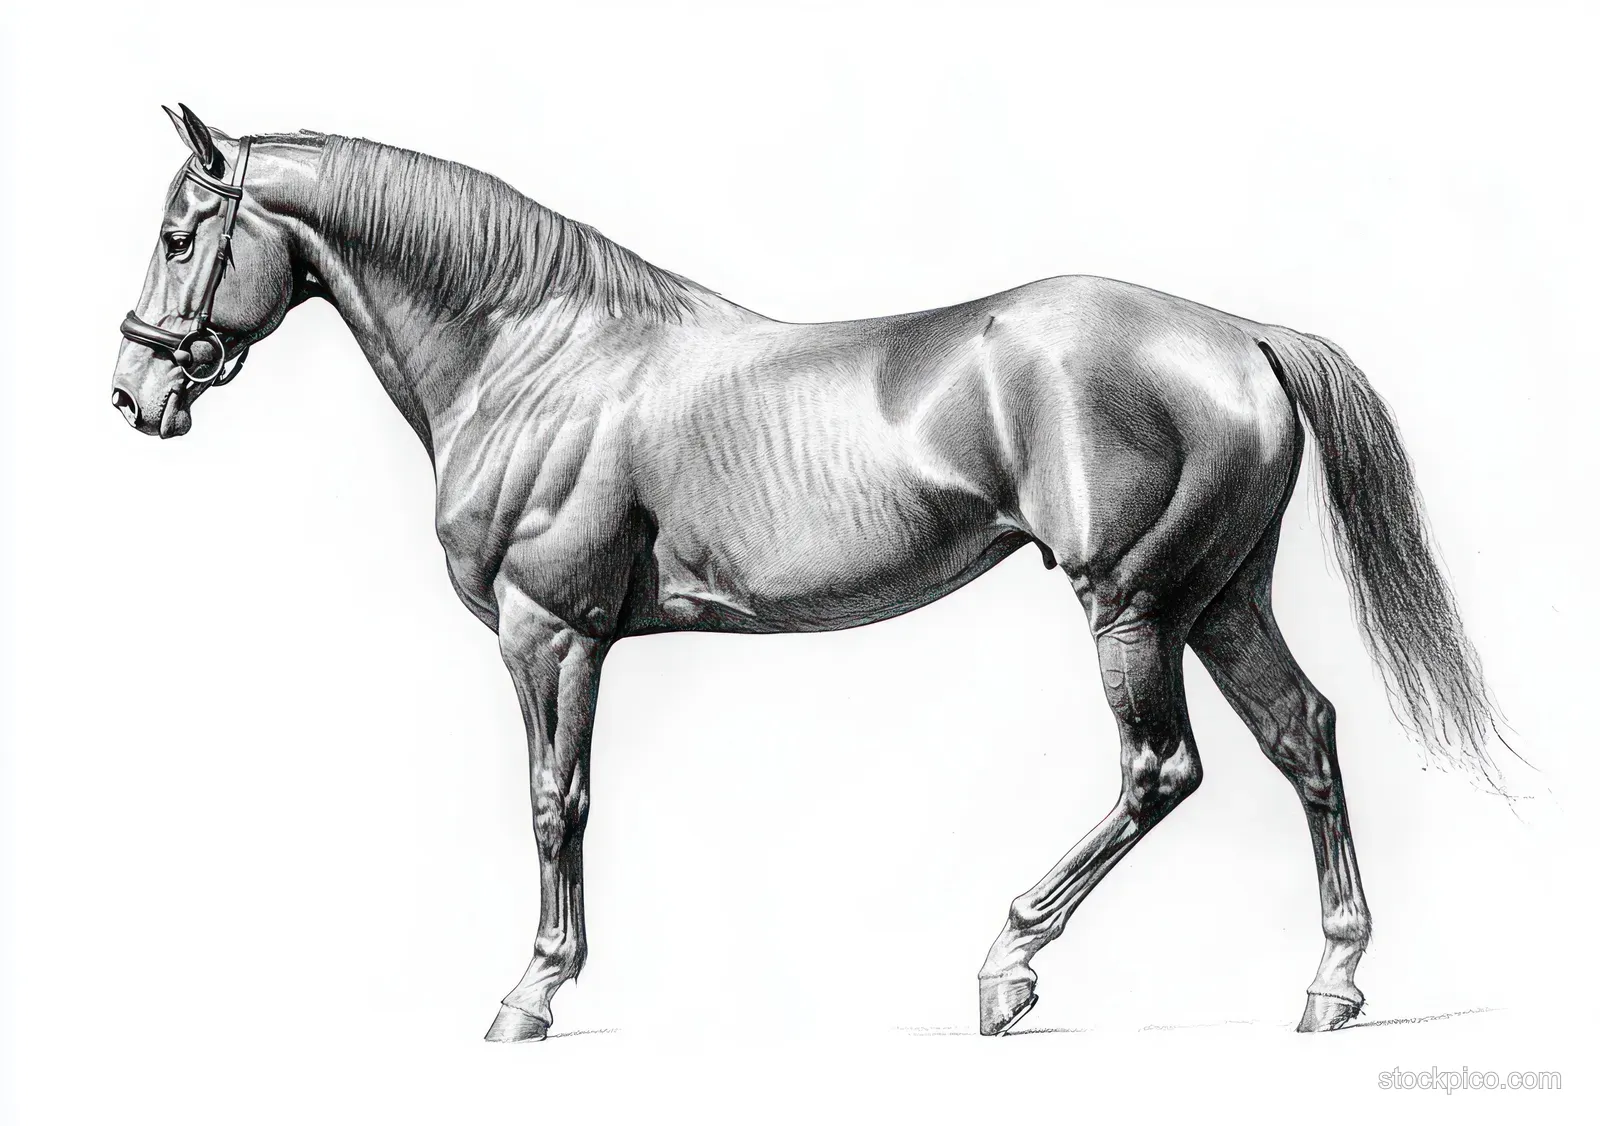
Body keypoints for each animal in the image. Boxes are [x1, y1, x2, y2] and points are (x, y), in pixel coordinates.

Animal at [112, 105, 1502, 1042]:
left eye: (181, 234)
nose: (133, 394)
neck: (537, 356)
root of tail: (1241, 336)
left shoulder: (548, 632)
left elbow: (554, 803)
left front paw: (532, 992)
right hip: (1220, 598)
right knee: (1302, 735)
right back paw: (1330, 983)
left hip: (1134, 606)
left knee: (1161, 770)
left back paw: (1008, 964)